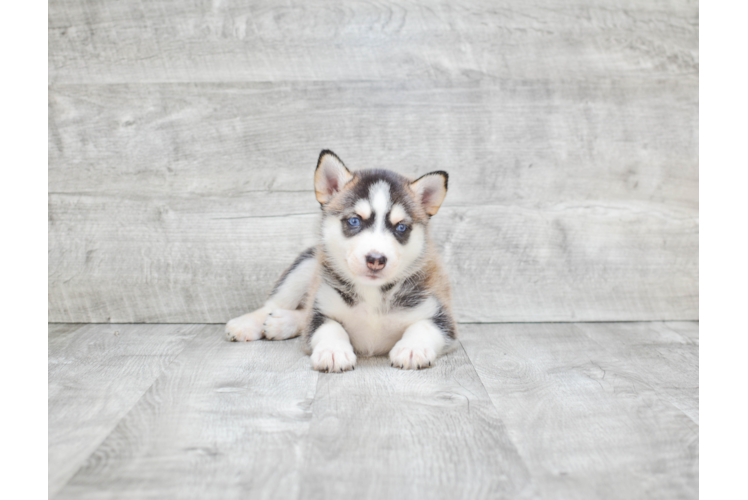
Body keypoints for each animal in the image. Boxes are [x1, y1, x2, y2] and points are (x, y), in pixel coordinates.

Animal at [225, 149, 456, 372]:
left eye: (401, 227)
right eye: (354, 221)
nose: (376, 259)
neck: (372, 294)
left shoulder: (441, 316)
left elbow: (422, 326)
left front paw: (412, 348)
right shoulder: (321, 310)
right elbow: (330, 327)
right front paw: (333, 351)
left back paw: (282, 322)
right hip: (306, 264)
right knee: (276, 304)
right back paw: (248, 323)